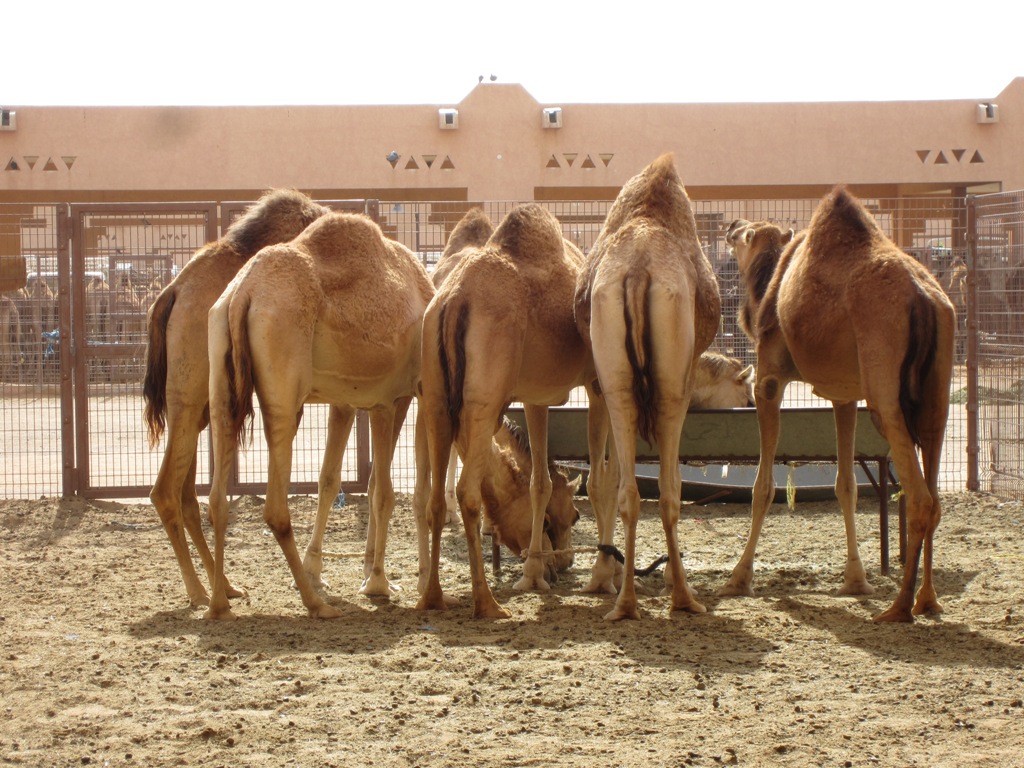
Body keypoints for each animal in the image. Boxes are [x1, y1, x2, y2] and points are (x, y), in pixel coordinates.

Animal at [141, 189, 327, 610]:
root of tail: (172, 293)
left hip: (196, 411)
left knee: (188, 496)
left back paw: (224, 587)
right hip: (189, 399)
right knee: (166, 491)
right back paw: (199, 592)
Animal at [205, 214, 434, 622]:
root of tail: (243, 293)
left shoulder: (349, 401)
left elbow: (336, 481)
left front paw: (353, 573)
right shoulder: (399, 397)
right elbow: (390, 491)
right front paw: (382, 583)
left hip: (220, 375)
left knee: (217, 499)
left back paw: (220, 604)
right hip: (285, 392)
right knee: (275, 507)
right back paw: (315, 604)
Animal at [415, 204, 606, 618]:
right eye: (570, 516)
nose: (564, 561)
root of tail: (454, 300)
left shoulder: (534, 395)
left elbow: (540, 481)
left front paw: (533, 573)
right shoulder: (596, 382)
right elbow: (600, 479)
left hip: (435, 398)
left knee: (434, 498)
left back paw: (433, 596)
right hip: (482, 399)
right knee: (467, 492)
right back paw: (486, 602)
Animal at [577, 153, 720, 622]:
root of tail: (639, 270)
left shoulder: (598, 382)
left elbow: (608, 477)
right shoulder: (685, 376)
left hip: (615, 376)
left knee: (628, 490)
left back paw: (623, 603)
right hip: (672, 385)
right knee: (669, 492)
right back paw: (684, 597)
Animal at [724, 186, 954, 626]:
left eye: (746, 236)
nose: (731, 223)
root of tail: (923, 299)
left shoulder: (768, 380)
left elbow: (763, 486)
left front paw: (739, 578)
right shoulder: (844, 395)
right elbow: (844, 485)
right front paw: (855, 580)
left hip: (886, 393)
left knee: (919, 498)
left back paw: (899, 607)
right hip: (937, 396)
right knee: (935, 493)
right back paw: (927, 599)